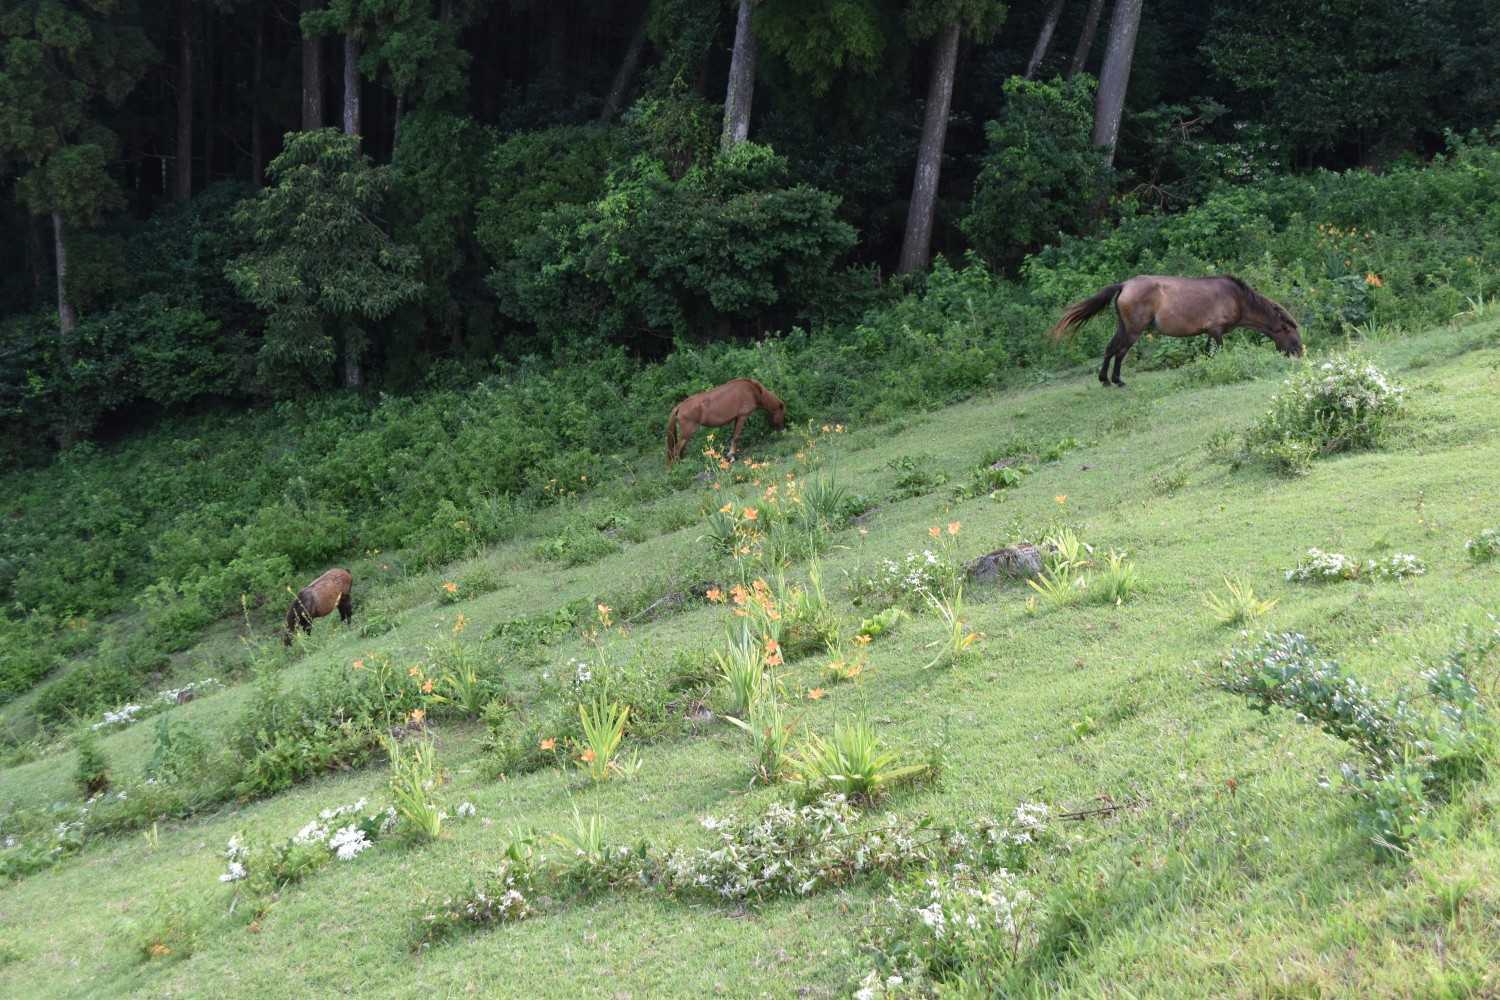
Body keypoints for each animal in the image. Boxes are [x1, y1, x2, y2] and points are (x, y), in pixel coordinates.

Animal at [1048, 275, 1303, 387]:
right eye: (1293, 335)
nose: (1301, 354)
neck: (1237, 298)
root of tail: (1124, 285)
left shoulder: (1208, 333)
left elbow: (1207, 354)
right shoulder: (1216, 331)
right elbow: (1219, 353)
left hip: (1124, 327)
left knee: (1111, 349)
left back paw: (1108, 379)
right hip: (1133, 330)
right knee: (1118, 352)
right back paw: (1113, 380)